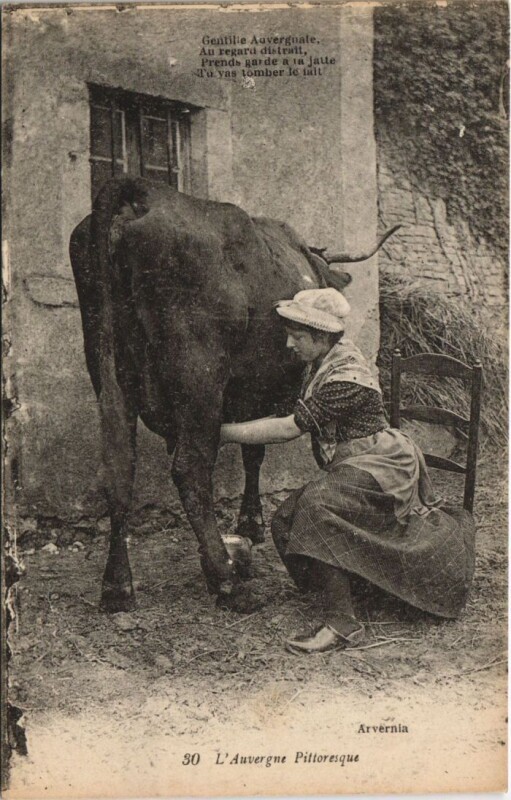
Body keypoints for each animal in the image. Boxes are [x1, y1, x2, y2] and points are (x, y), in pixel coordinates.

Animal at [70, 177, 399, 614]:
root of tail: (142, 194)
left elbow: (248, 448)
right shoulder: (267, 387)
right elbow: (256, 453)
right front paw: (251, 523)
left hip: (107, 368)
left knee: (120, 469)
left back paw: (118, 586)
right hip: (199, 374)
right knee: (190, 467)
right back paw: (226, 580)